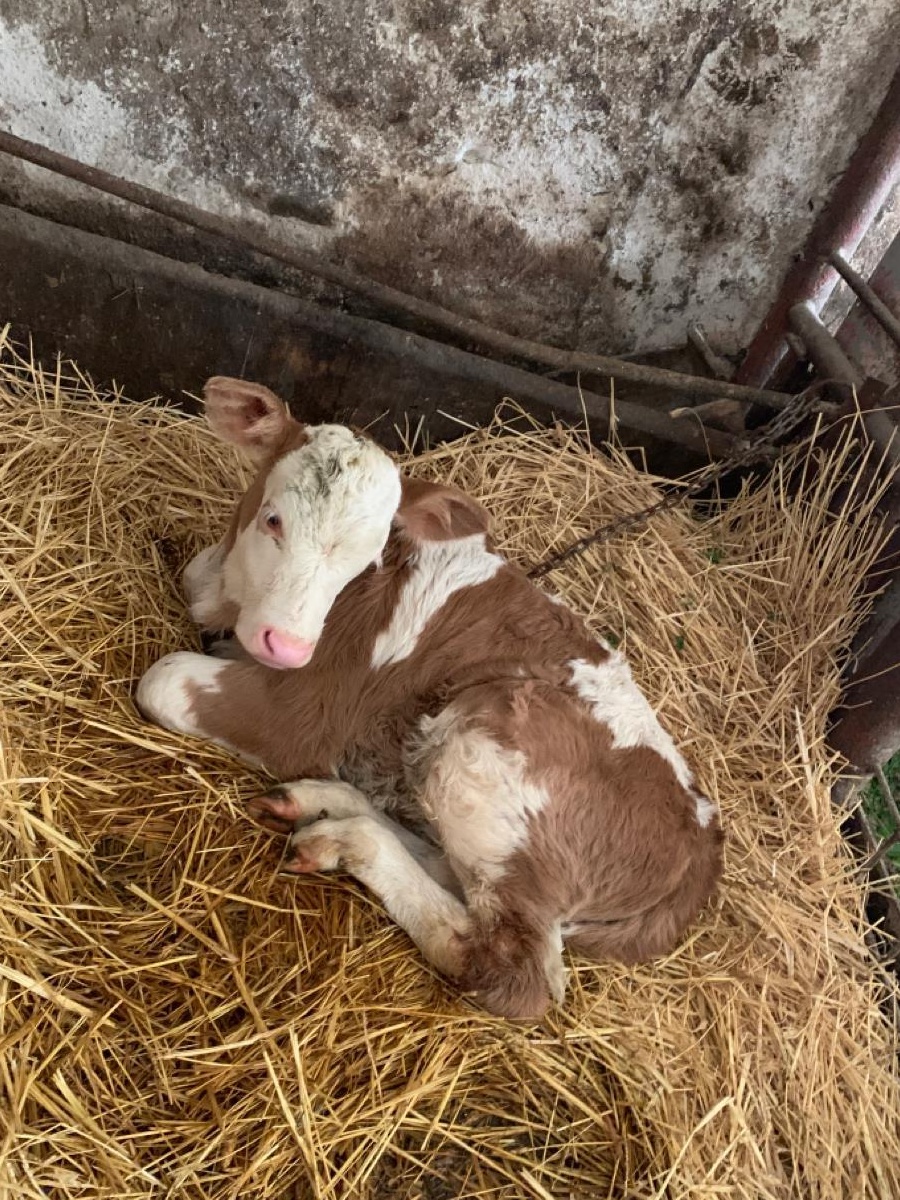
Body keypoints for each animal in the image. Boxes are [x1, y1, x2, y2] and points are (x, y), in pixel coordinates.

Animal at [136, 376, 723, 1019]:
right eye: (273, 520)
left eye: (365, 560)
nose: (288, 647)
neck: (230, 601)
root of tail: (702, 842)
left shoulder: (299, 712)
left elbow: (162, 680)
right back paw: (323, 807)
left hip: (487, 741)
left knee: (515, 972)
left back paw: (348, 839)